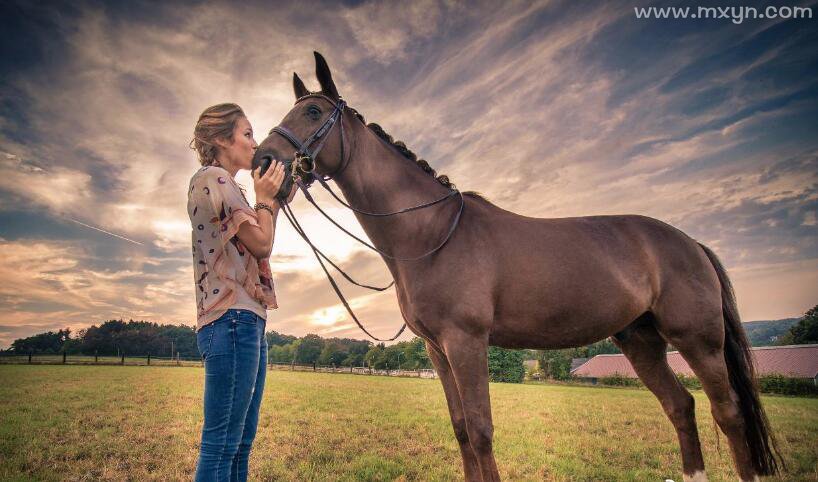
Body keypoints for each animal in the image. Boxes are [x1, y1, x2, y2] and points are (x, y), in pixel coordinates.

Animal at [253, 52, 776, 482]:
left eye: (313, 112)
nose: (262, 160)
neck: (433, 233)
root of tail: (690, 243)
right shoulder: (438, 349)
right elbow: (462, 428)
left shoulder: (466, 341)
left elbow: (481, 429)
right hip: (641, 341)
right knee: (680, 406)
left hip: (698, 341)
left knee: (728, 413)